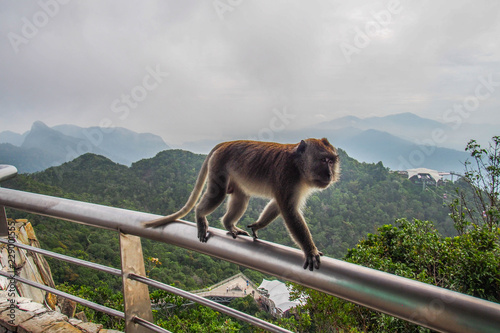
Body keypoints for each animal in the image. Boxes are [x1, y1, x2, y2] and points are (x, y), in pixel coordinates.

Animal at [143, 137, 342, 270]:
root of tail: (226, 143)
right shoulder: (287, 175)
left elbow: (278, 205)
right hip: (218, 166)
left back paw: (229, 225)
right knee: (217, 194)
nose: (330, 174)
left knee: (241, 197)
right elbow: (288, 210)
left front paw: (258, 225)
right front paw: (310, 251)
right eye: (323, 160)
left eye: (332, 161)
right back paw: (200, 215)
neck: (297, 165)